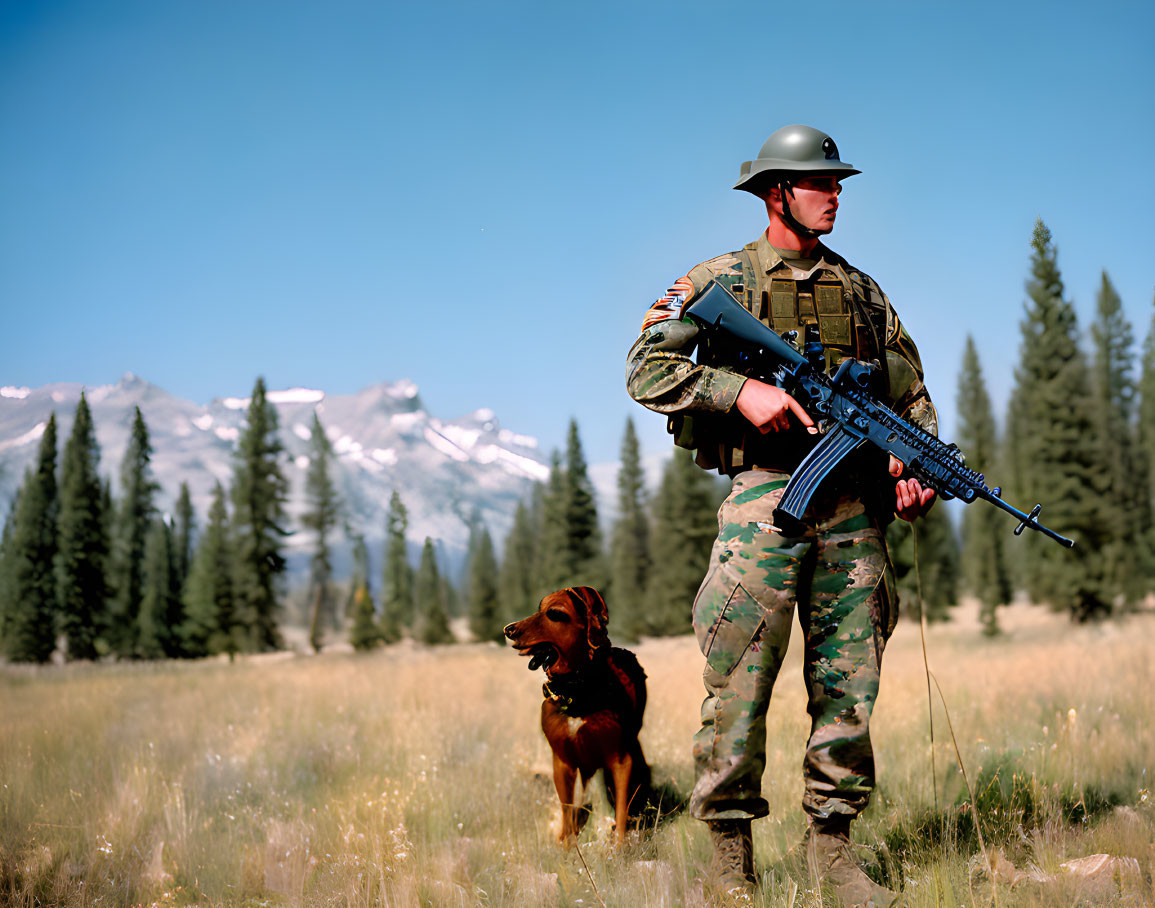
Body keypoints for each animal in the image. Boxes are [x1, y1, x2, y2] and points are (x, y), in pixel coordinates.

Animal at [503, 584, 651, 845]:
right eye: (538, 609)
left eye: (554, 613)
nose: (508, 629)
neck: (577, 690)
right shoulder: (562, 761)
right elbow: (567, 808)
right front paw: (568, 843)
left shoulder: (620, 758)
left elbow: (621, 808)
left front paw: (619, 845)